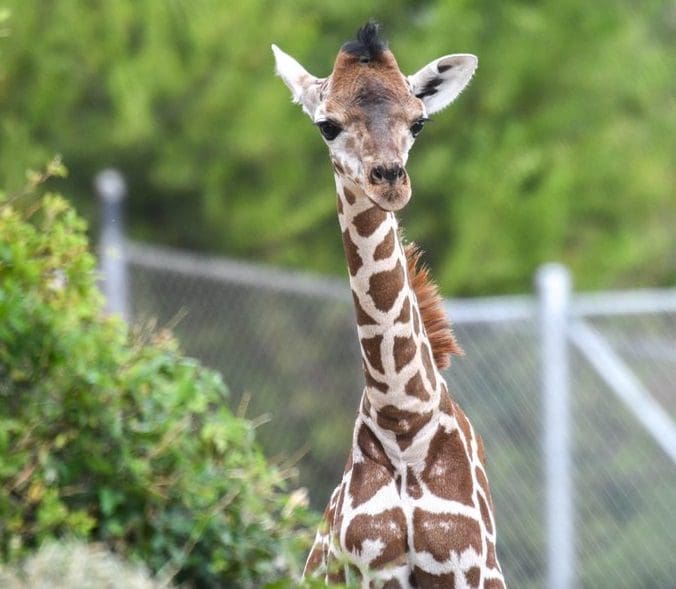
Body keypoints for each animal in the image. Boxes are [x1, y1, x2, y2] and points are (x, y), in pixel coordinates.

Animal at [274, 20, 502, 584]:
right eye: (326, 126)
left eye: (418, 122)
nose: (390, 180)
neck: (403, 422)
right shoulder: (371, 568)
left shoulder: (463, 568)